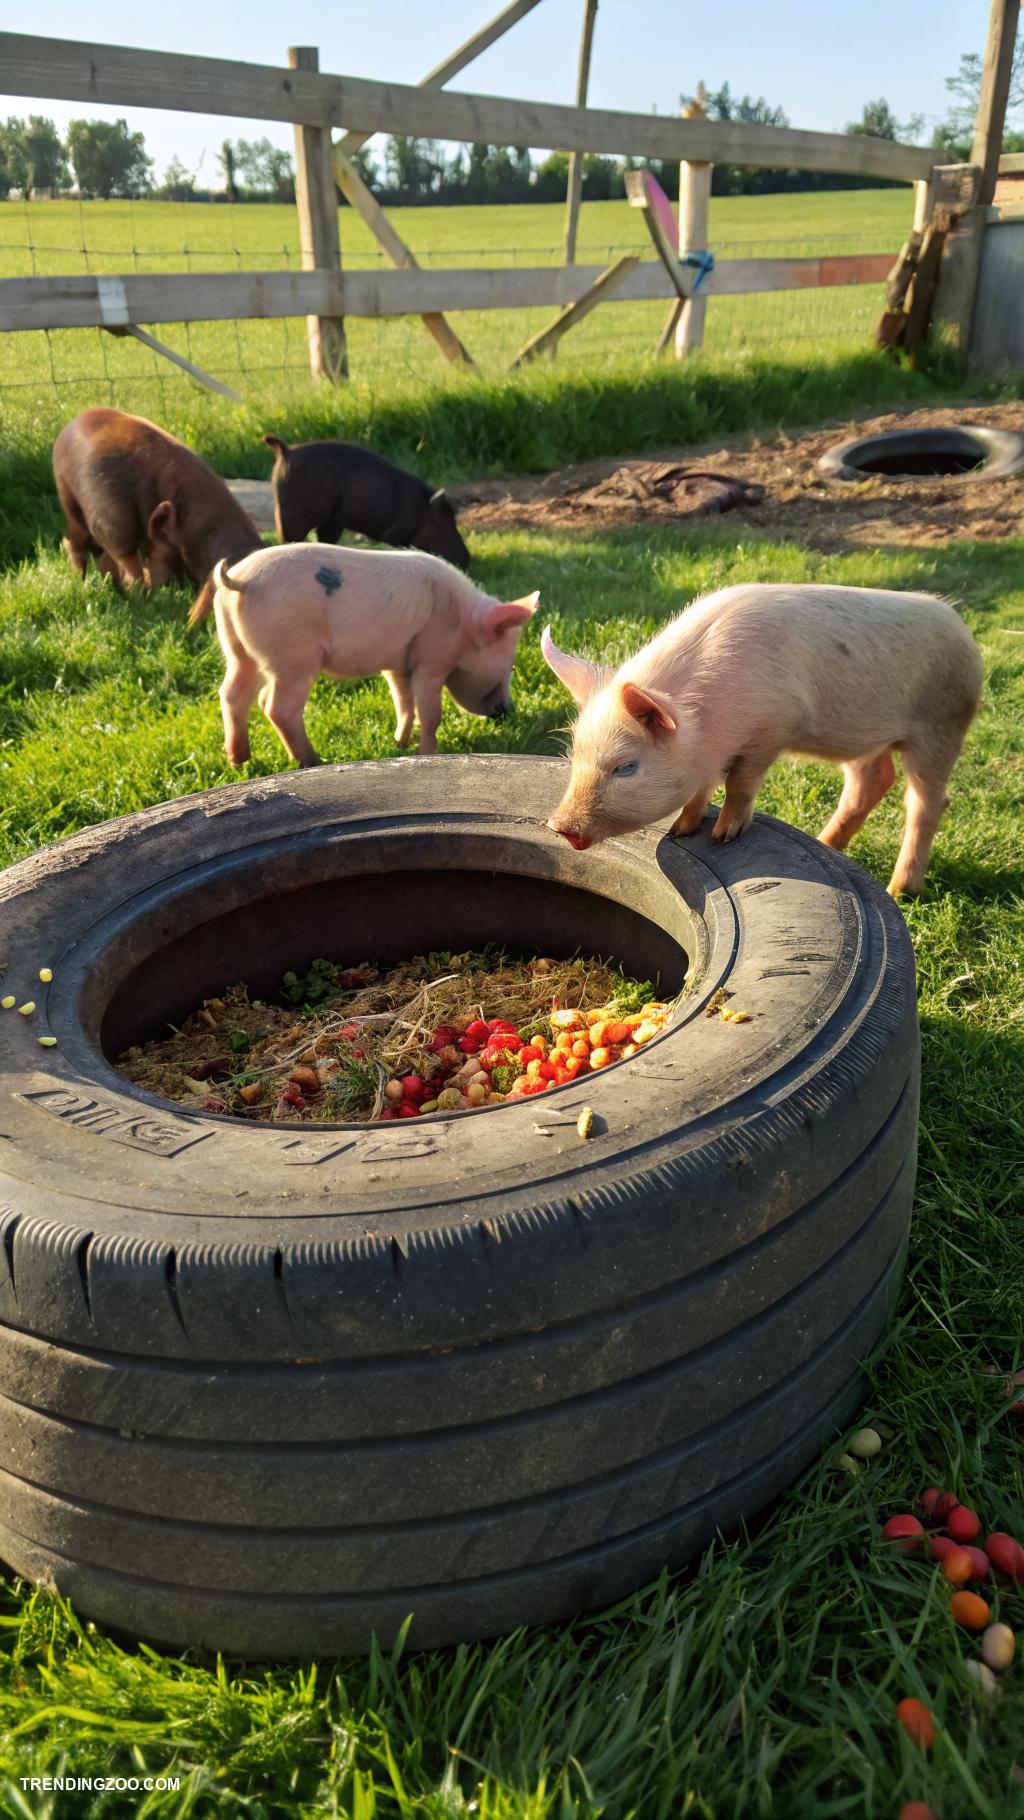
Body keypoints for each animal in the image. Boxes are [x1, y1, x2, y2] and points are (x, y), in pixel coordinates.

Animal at [52, 407, 262, 607]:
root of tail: (70, 426)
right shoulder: (119, 521)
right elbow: (144, 564)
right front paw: (151, 598)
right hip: (71, 500)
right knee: (77, 544)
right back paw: (88, 583)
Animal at [189, 542, 537, 767]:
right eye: (508, 665)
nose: (509, 710)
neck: (462, 622)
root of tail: (240, 581)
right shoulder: (431, 659)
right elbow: (430, 712)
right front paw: (426, 753)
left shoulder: (398, 662)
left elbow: (403, 701)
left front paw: (399, 743)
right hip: (293, 657)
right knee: (276, 707)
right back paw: (311, 761)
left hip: (237, 648)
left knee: (234, 694)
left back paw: (240, 760)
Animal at [262, 435, 471, 571]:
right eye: (445, 522)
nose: (467, 559)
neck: (420, 509)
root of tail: (285, 451)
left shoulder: (334, 523)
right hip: (293, 517)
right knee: (287, 540)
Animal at [542, 583, 983, 897]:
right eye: (576, 756)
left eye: (626, 767)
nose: (558, 824)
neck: (707, 722)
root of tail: (961, 626)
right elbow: (701, 789)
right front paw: (681, 831)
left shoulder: (772, 728)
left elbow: (740, 782)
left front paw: (722, 836)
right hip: (864, 740)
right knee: (871, 782)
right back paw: (824, 843)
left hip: (942, 725)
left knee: (927, 802)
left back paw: (899, 889)